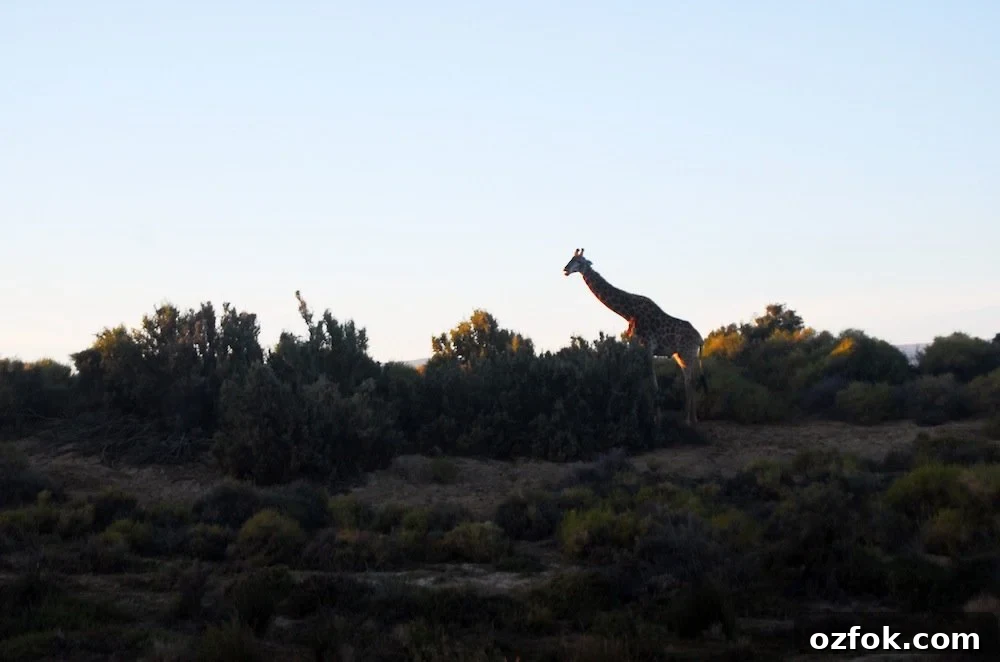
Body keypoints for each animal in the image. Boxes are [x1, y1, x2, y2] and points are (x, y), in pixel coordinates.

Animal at [563, 248, 708, 425]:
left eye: (579, 261)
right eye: (570, 259)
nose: (565, 269)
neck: (628, 312)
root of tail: (700, 339)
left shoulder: (647, 346)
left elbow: (652, 383)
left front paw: (656, 419)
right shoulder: (635, 346)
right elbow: (636, 379)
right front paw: (639, 415)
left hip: (687, 353)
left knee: (689, 381)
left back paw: (688, 420)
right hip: (682, 355)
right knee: (690, 381)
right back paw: (693, 419)